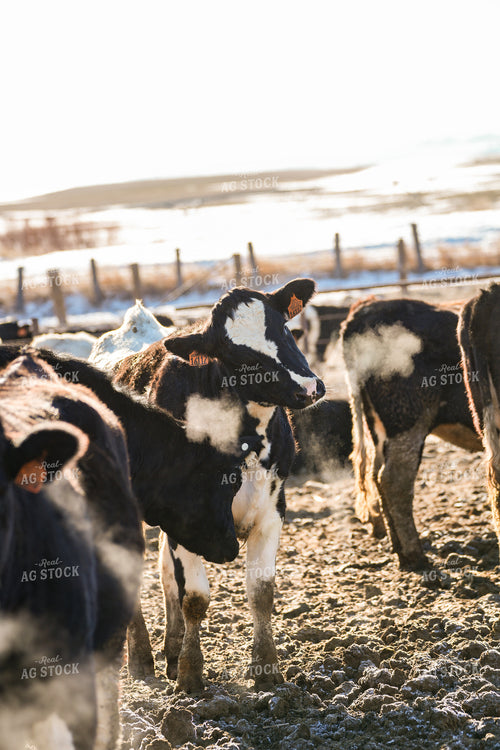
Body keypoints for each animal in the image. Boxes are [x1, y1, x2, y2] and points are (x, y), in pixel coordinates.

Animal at [113, 279, 325, 693]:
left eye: (284, 328)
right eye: (238, 356)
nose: (308, 388)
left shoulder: (272, 509)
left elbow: (261, 593)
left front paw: (266, 669)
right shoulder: (184, 519)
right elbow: (195, 597)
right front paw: (190, 676)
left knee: (165, 574)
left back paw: (171, 649)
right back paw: (142, 659)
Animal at [341, 297, 482, 571]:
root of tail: (368, 306)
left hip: (380, 428)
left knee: (376, 475)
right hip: (407, 419)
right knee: (394, 479)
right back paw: (414, 555)